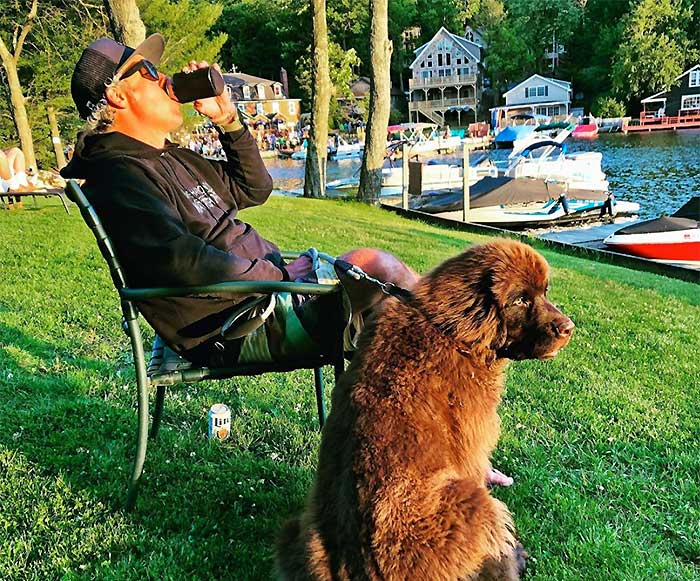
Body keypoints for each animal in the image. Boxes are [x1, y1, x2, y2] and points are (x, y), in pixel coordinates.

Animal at [276, 238, 576, 576]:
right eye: (520, 300)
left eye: (544, 293)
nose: (569, 328)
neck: (448, 329)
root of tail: (354, 568)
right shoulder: (473, 449)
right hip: (474, 501)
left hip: (297, 534)